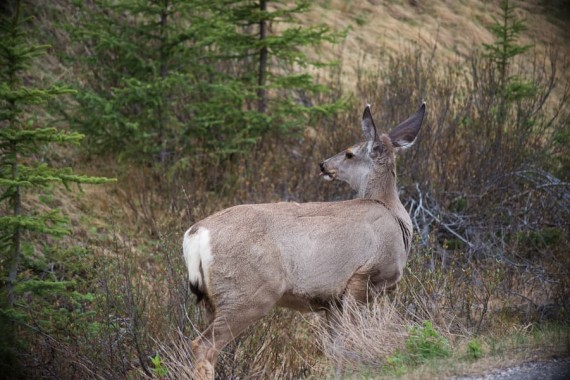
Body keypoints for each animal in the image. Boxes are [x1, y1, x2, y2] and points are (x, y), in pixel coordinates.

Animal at [184, 102, 424, 378]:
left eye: (349, 153)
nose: (323, 165)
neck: (391, 212)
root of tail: (196, 235)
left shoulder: (332, 302)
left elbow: (335, 350)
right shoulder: (363, 278)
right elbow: (349, 342)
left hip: (213, 300)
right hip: (247, 293)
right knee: (204, 346)